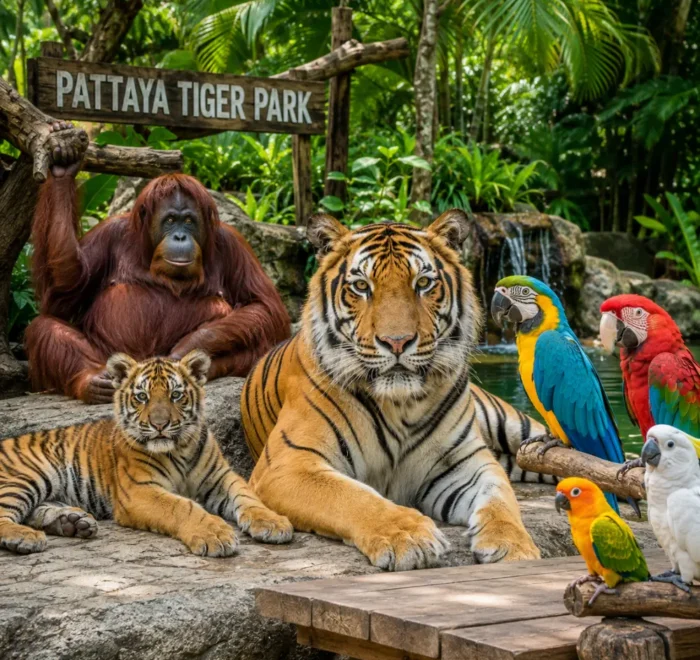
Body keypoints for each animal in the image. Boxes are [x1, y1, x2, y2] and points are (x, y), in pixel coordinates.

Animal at [0, 350, 293, 556]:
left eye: (176, 395)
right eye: (142, 397)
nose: (159, 424)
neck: (180, 449)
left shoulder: (222, 477)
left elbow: (248, 497)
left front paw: (273, 523)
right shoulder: (140, 490)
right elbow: (182, 506)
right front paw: (215, 534)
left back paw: (74, 522)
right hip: (27, 475)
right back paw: (26, 537)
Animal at [241, 209, 546, 571]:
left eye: (423, 283)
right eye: (361, 286)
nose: (397, 342)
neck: (401, 404)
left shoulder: (467, 463)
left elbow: (500, 498)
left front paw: (514, 546)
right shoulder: (288, 464)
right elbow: (353, 497)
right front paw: (409, 537)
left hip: (517, 428)